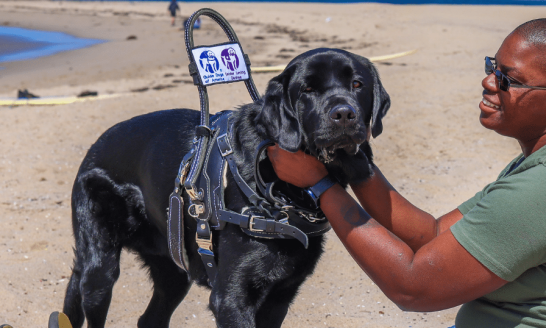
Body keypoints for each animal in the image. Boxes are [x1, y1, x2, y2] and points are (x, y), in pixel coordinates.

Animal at [61, 47, 388, 326]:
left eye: (357, 84)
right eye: (307, 90)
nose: (344, 114)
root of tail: (94, 148)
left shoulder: (280, 297)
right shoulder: (232, 298)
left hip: (173, 269)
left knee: (150, 318)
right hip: (99, 269)